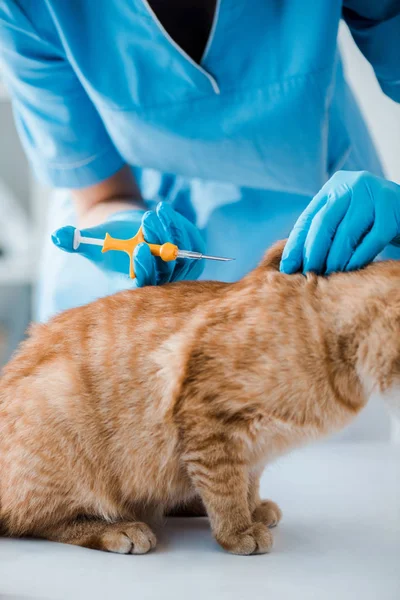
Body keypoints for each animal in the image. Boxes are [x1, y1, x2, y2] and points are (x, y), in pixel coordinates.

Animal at [0, 240, 400, 552]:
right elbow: (225, 485)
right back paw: (119, 528)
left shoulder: (251, 445)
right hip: (58, 402)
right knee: (37, 520)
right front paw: (237, 530)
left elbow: (247, 479)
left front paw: (252, 508)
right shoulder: (208, 420)